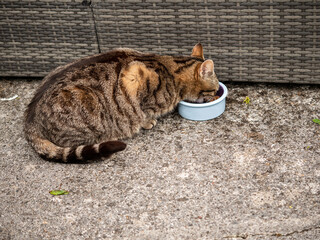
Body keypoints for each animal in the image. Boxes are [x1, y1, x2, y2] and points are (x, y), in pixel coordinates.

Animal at [23, 43, 220, 163]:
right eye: (215, 89)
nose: (216, 95)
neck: (172, 71)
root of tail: (29, 121)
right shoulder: (135, 77)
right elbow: (143, 111)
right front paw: (147, 121)